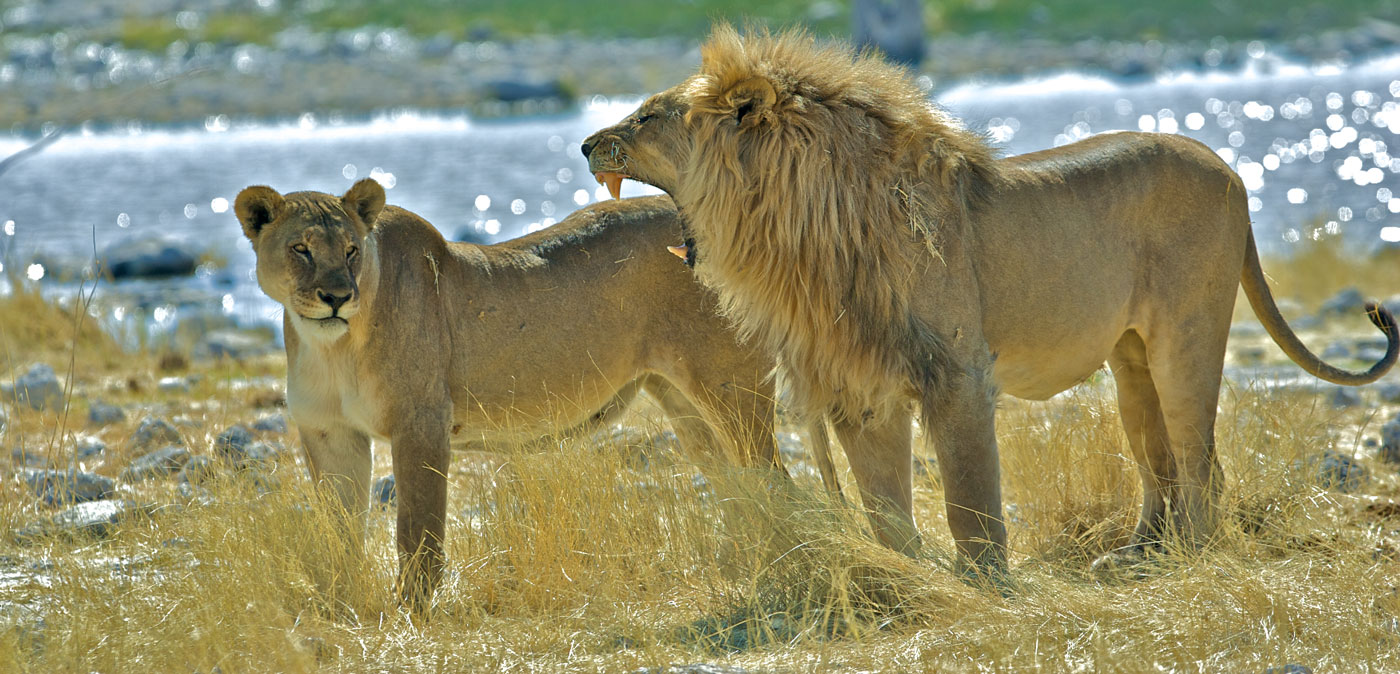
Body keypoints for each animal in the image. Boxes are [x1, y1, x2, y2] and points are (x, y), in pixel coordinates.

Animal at [235, 181, 840, 608]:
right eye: (300, 249)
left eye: (352, 250)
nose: (338, 296)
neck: (331, 346)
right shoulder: (328, 432)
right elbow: (337, 529)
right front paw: (338, 603)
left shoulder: (421, 422)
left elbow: (417, 530)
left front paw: (412, 611)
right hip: (685, 403)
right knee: (741, 489)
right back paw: (756, 569)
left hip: (731, 391)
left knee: (776, 483)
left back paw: (790, 571)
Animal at [582, 25, 1399, 576]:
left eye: (648, 116)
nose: (588, 145)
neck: (802, 227)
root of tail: (1227, 165)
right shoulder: (859, 388)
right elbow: (883, 505)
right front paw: (913, 578)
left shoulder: (956, 372)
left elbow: (969, 495)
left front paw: (986, 581)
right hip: (1130, 360)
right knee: (1159, 459)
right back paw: (1139, 556)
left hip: (1186, 339)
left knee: (1201, 462)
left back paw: (1192, 557)